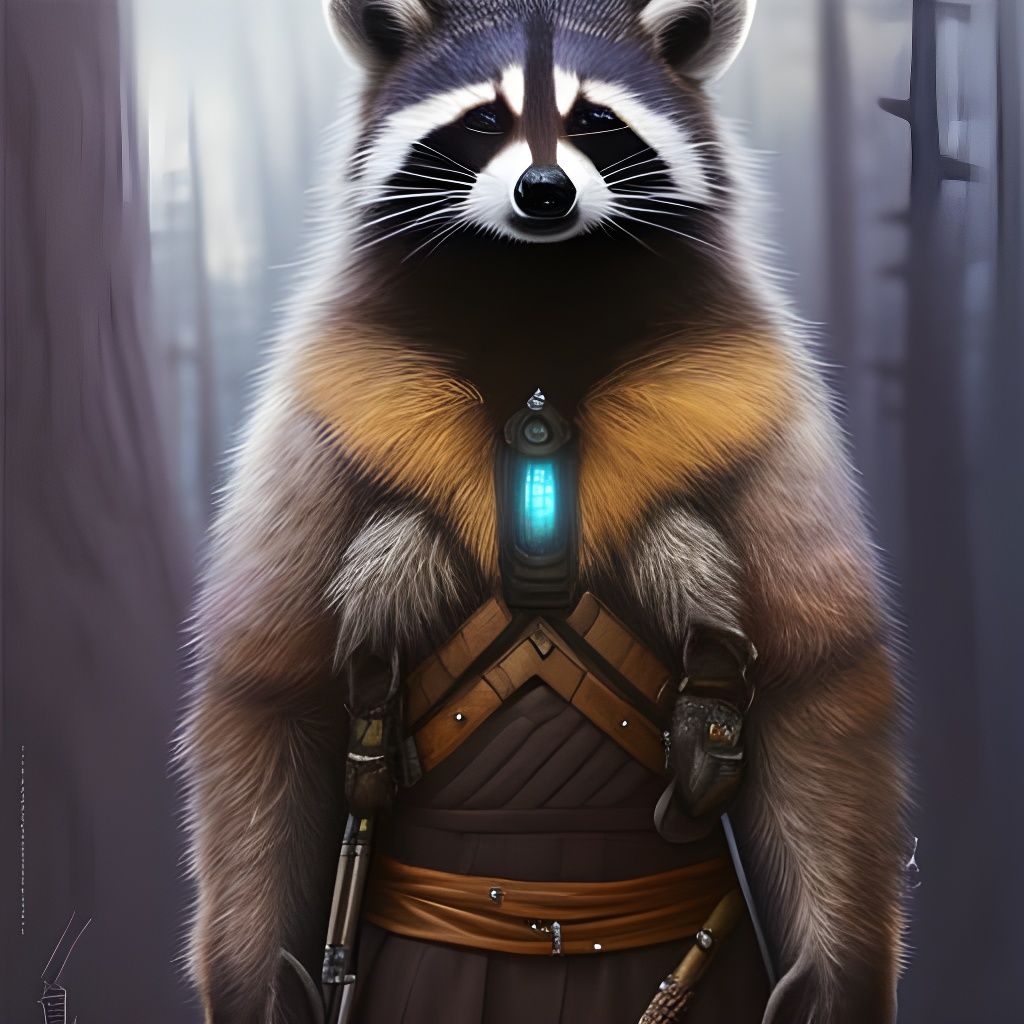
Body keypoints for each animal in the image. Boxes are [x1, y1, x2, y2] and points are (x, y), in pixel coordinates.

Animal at [179, 2, 908, 1022]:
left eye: (594, 119)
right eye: (484, 118)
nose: (544, 193)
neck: (537, 288)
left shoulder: (758, 396)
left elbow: (822, 676)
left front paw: (835, 971)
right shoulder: (321, 407)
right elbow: (266, 686)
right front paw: (258, 975)